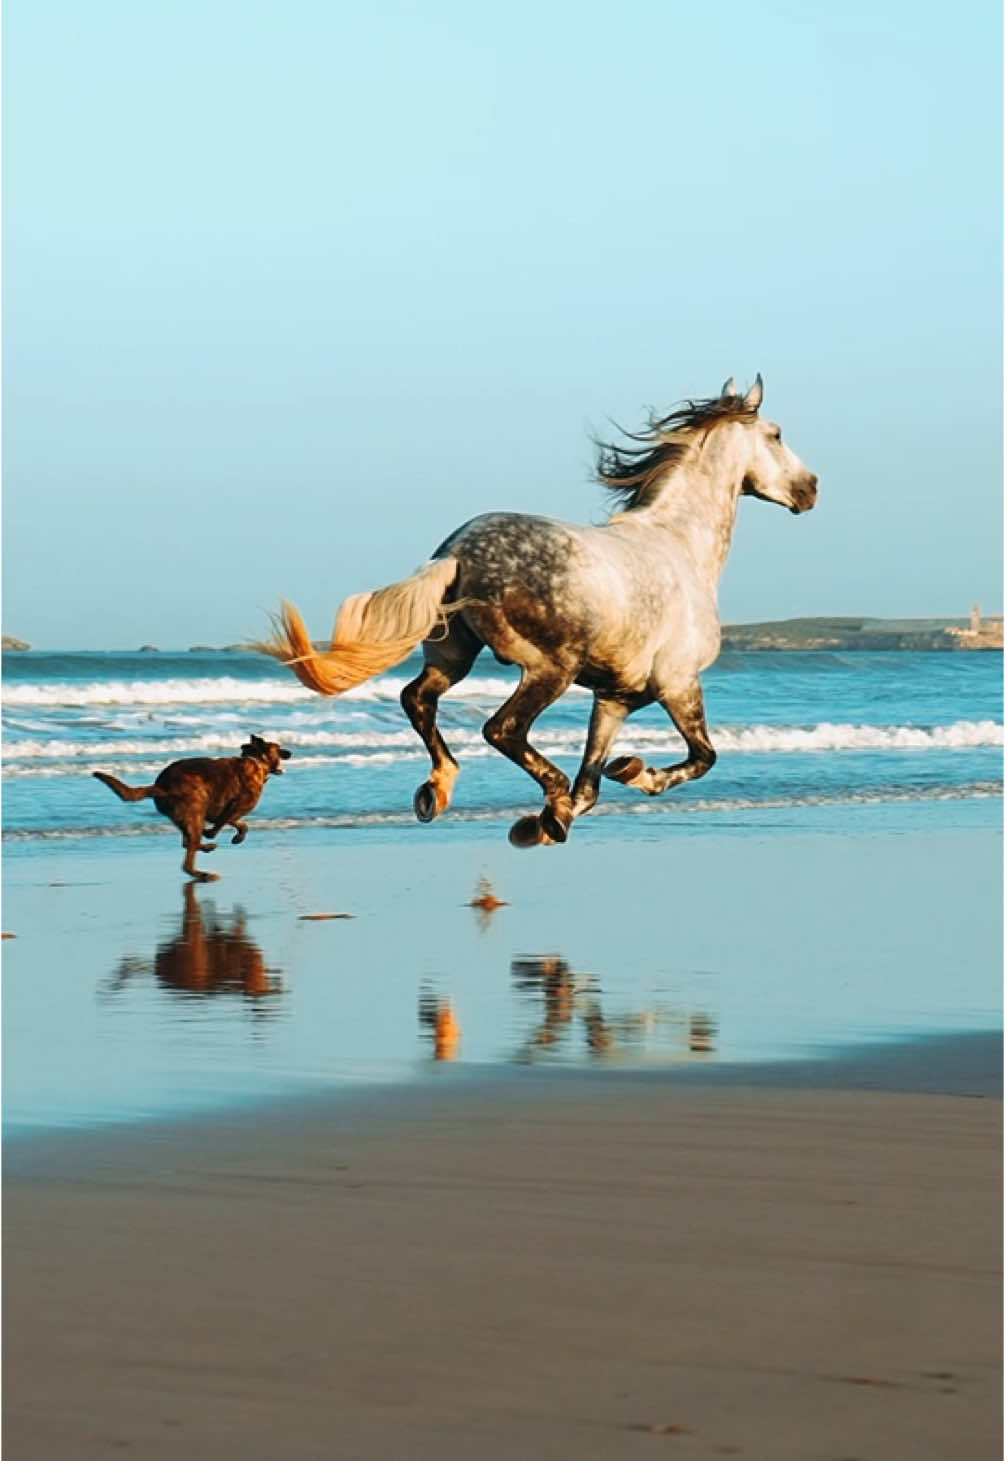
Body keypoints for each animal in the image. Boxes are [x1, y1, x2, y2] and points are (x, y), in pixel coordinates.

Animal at [94, 730, 292, 876]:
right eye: (279, 747)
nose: (290, 752)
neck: (256, 761)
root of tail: (161, 786)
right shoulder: (236, 806)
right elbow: (220, 826)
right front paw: (213, 833)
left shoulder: (227, 811)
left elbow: (240, 824)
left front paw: (238, 836)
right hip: (196, 808)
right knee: (188, 859)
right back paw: (203, 873)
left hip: (188, 815)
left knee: (187, 843)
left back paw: (205, 849)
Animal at [258, 376, 818, 847]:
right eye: (776, 434)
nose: (810, 488)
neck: (680, 546)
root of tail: (457, 552)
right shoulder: (679, 684)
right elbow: (703, 757)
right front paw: (628, 778)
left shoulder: (615, 699)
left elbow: (592, 784)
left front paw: (565, 809)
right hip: (551, 667)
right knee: (501, 728)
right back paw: (536, 794)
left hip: (454, 655)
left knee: (417, 698)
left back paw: (440, 789)